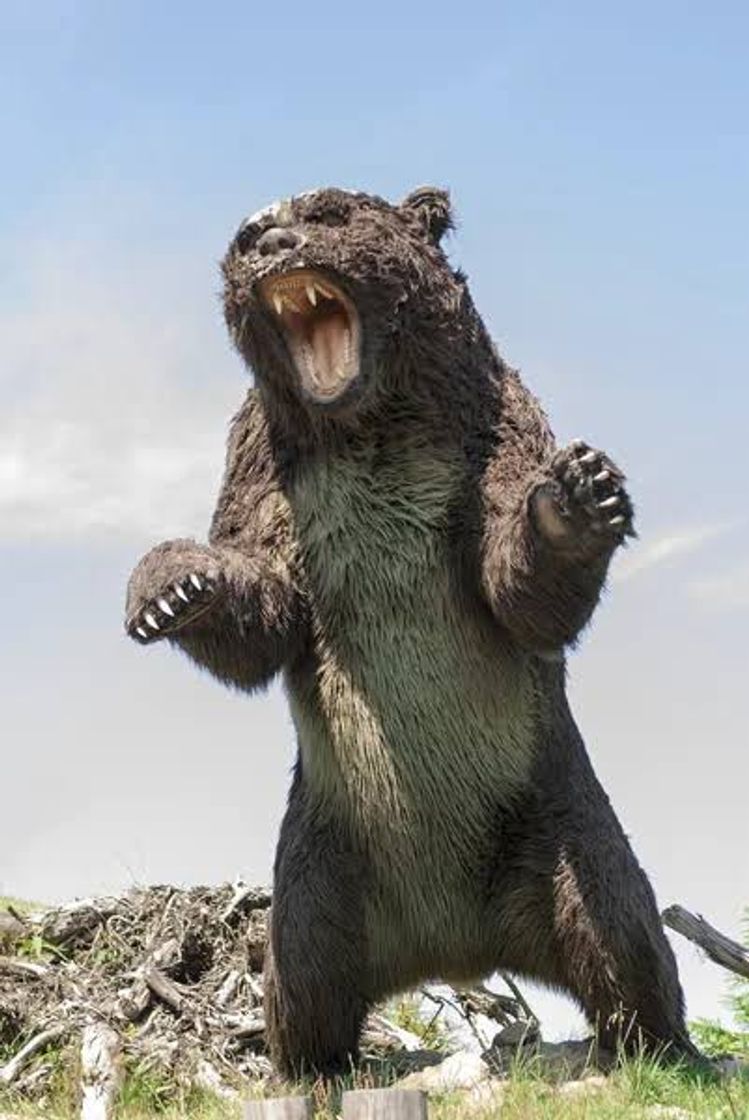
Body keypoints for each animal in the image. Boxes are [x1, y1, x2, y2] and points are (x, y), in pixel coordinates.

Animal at [125, 185, 698, 1077]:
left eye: (327, 213)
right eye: (247, 232)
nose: (266, 240)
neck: (364, 427)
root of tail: (454, 946)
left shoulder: (487, 428)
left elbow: (514, 587)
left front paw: (578, 493)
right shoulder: (268, 464)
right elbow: (263, 603)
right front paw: (173, 587)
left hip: (552, 816)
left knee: (620, 928)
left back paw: (660, 1048)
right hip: (330, 853)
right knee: (302, 969)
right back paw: (314, 1063)